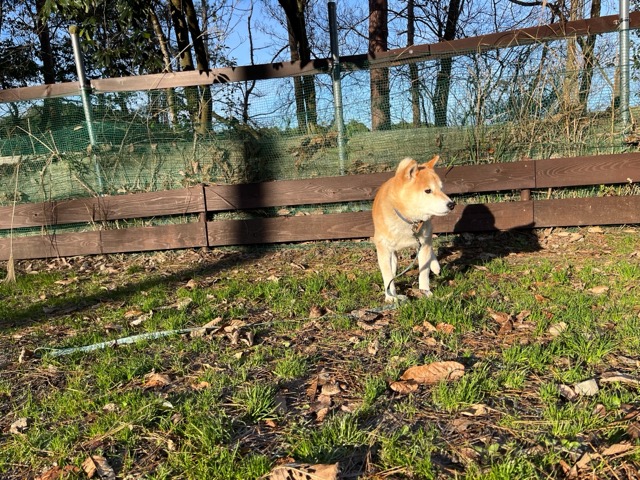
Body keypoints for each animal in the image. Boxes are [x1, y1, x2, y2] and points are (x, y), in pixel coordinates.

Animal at [372, 156, 455, 302]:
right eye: (428, 191)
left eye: (441, 189)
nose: (451, 204)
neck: (407, 220)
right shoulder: (383, 249)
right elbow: (388, 276)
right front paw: (390, 296)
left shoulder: (423, 243)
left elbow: (424, 272)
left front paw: (425, 291)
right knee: (393, 262)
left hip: (425, 238)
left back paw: (435, 265)